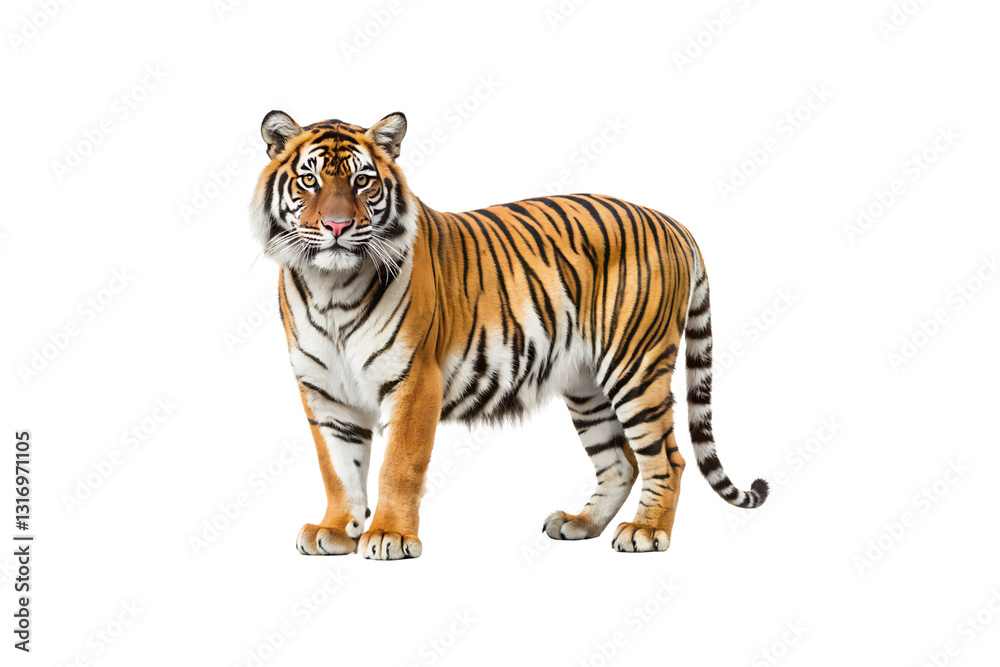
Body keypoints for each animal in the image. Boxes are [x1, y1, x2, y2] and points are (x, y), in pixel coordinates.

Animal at [250, 110, 769, 560]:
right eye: (310, 180)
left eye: (363, 181)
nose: (337, 226)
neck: (330, 288)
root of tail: (672, 221)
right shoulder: (324, 391)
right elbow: (338, 467)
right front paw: (337, 530)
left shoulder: (415, 380)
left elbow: (398, 464)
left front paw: (389, 536)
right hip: (585, 383)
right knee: (621, 460)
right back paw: (580, 524)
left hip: (635, 365)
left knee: (666, 458)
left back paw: (645, 531)